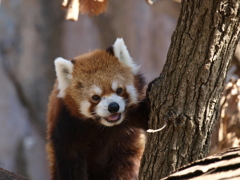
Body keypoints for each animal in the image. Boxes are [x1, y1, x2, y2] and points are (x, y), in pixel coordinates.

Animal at [46, 38, 149, 179]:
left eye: (119, 90)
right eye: (95, 97)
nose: (113, 107)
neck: (103, 126)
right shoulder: (67, 126)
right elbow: (70, 160)